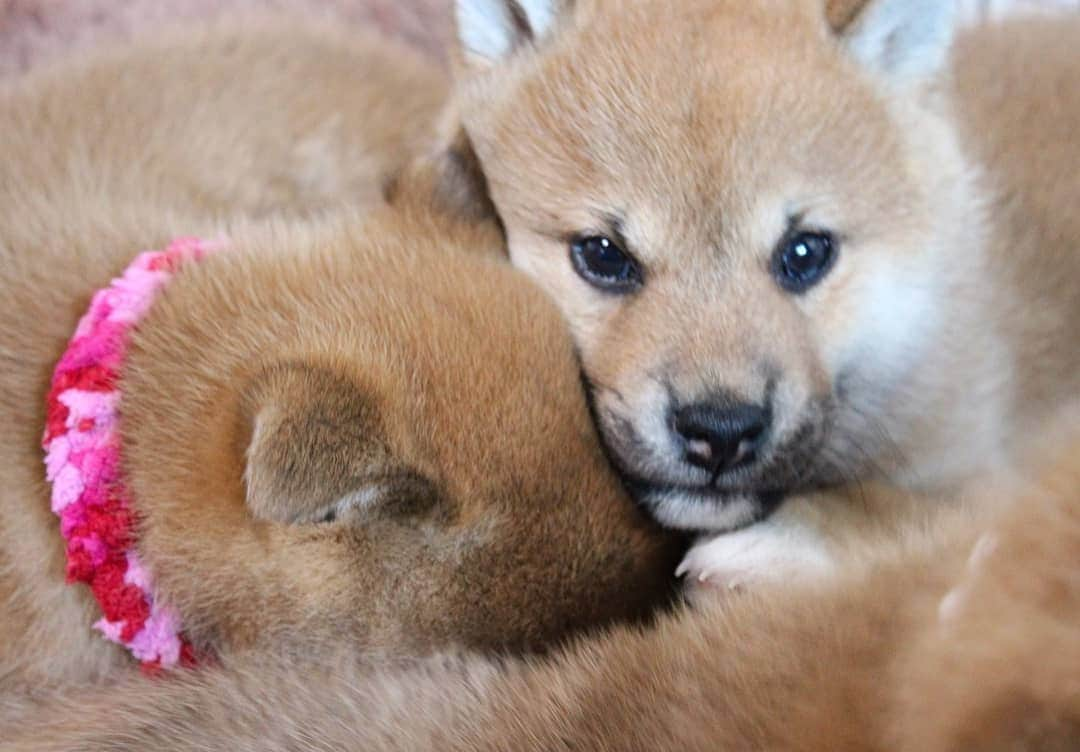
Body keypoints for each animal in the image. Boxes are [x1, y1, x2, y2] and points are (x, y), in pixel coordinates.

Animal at [438, 0, 1080, 579]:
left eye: (804, 253)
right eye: (603, 255)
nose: (719, 434)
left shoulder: (989, 474)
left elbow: (901, 506)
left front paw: (780, 540)